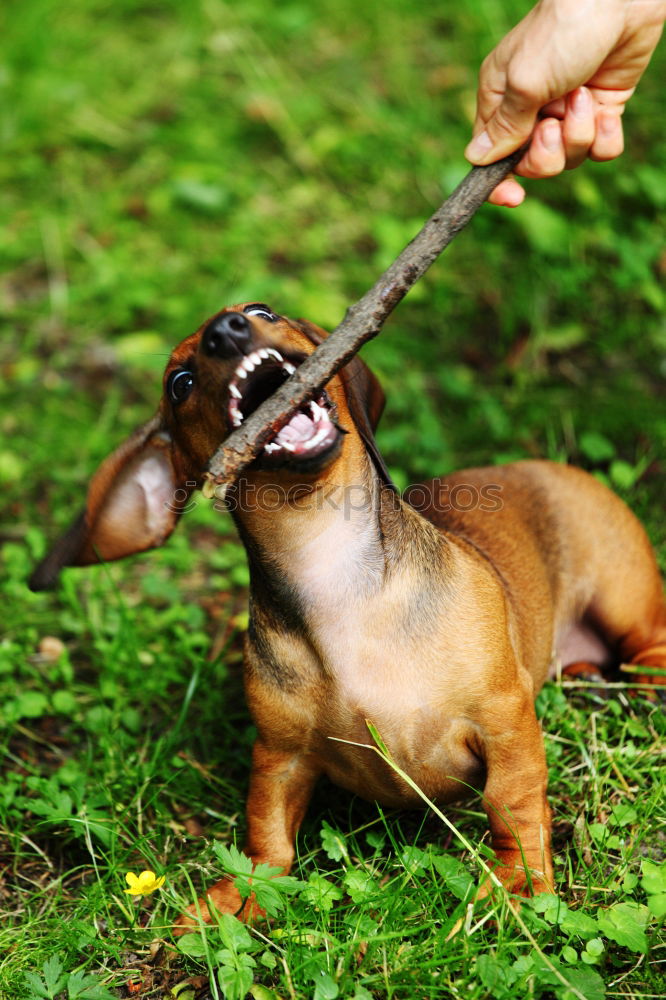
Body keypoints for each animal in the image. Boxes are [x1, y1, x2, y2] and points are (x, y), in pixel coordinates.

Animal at [29, 300, 664, 924]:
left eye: (261, 310)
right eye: (179, 384)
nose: (226, 331)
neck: (331, 571)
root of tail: (554, 465)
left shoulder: (503, 718)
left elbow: (512, 801)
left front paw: (522, 884)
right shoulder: (280, 754)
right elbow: (266, 830)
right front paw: (246, 892)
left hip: (623, 598)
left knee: (646, 645)